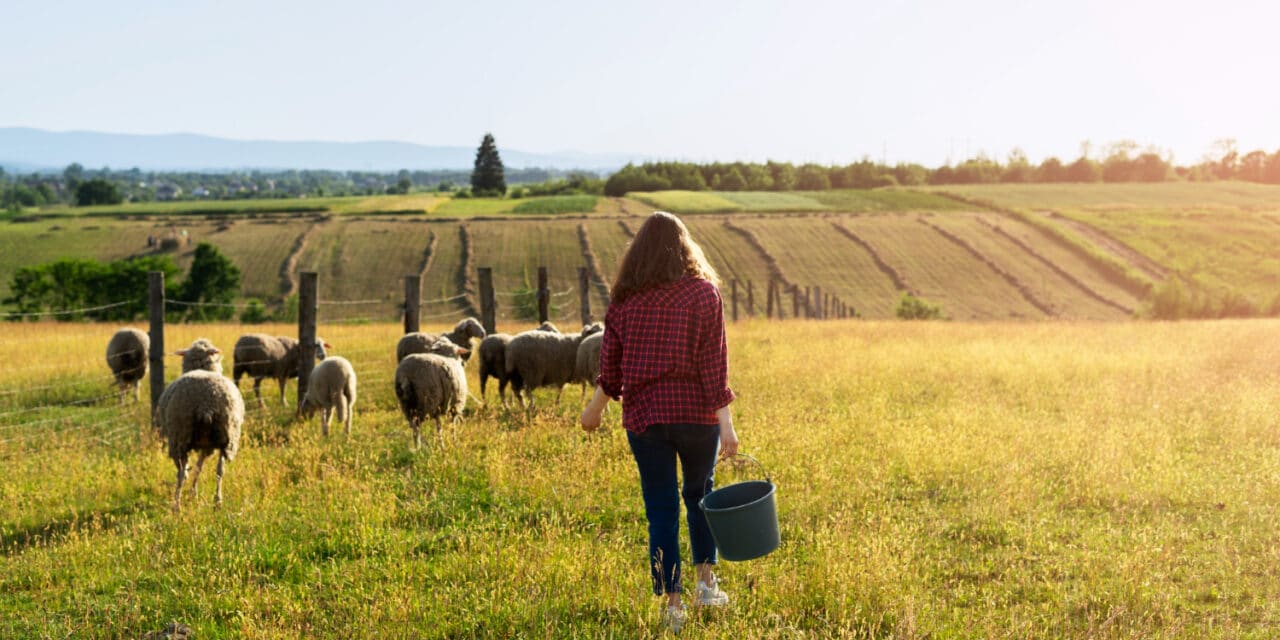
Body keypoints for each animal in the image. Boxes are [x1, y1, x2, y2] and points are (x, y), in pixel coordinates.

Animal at [156, 337, 244, 512]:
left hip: (179, 436)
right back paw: (217, 501)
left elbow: (191, 469)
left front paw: (191, 492)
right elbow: (199, 467)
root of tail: (206, 402)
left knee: (181, 472)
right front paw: (193, 493)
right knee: (220, 470)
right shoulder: (206, 445)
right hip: (227, 437)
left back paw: (176, 505)